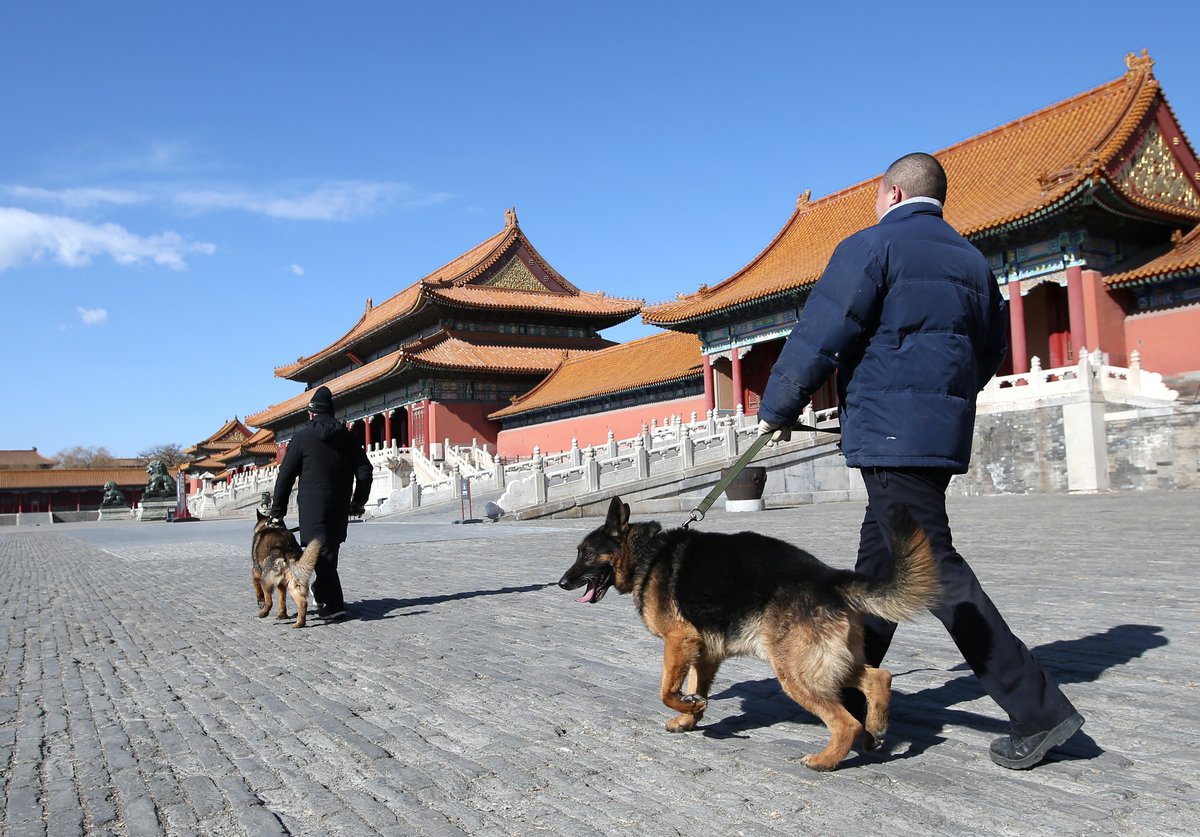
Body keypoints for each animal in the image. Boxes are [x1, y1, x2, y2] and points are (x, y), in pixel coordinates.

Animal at [556, 496, 940, 767]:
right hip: (826, 663)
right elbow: (695, 688)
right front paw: (690, 716)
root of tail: (829, 578)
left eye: (586, 553)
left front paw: (687, 708)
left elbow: (666, 690)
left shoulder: (680, 641)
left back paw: (825, 760)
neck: (646, 554)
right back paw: (875, 731)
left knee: (847, 723)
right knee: (880, 678)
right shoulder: (704, 652)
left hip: (794, 673)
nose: (561, 583)